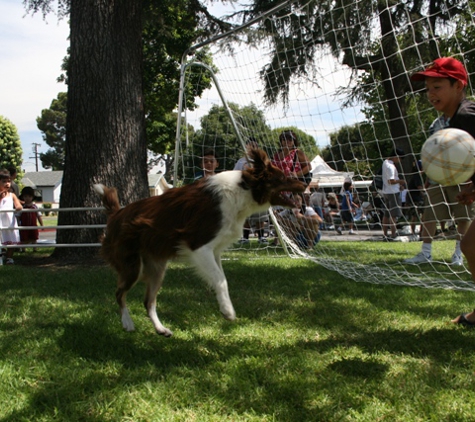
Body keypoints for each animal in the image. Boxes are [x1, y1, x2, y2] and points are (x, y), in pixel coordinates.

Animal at [95, 148, 306, 336]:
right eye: (283, 178)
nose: (305, 185)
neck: (243, 190)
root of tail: (116, 214)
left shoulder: (215, 251)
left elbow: (220, 277)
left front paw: (223, 304)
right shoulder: (198, 245)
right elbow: (221, 280)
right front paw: (228, 311)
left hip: (157, 268)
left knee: (148, 302)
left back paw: (161, 329)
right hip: (131, 265)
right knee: (119, 293)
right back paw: (127, 322)